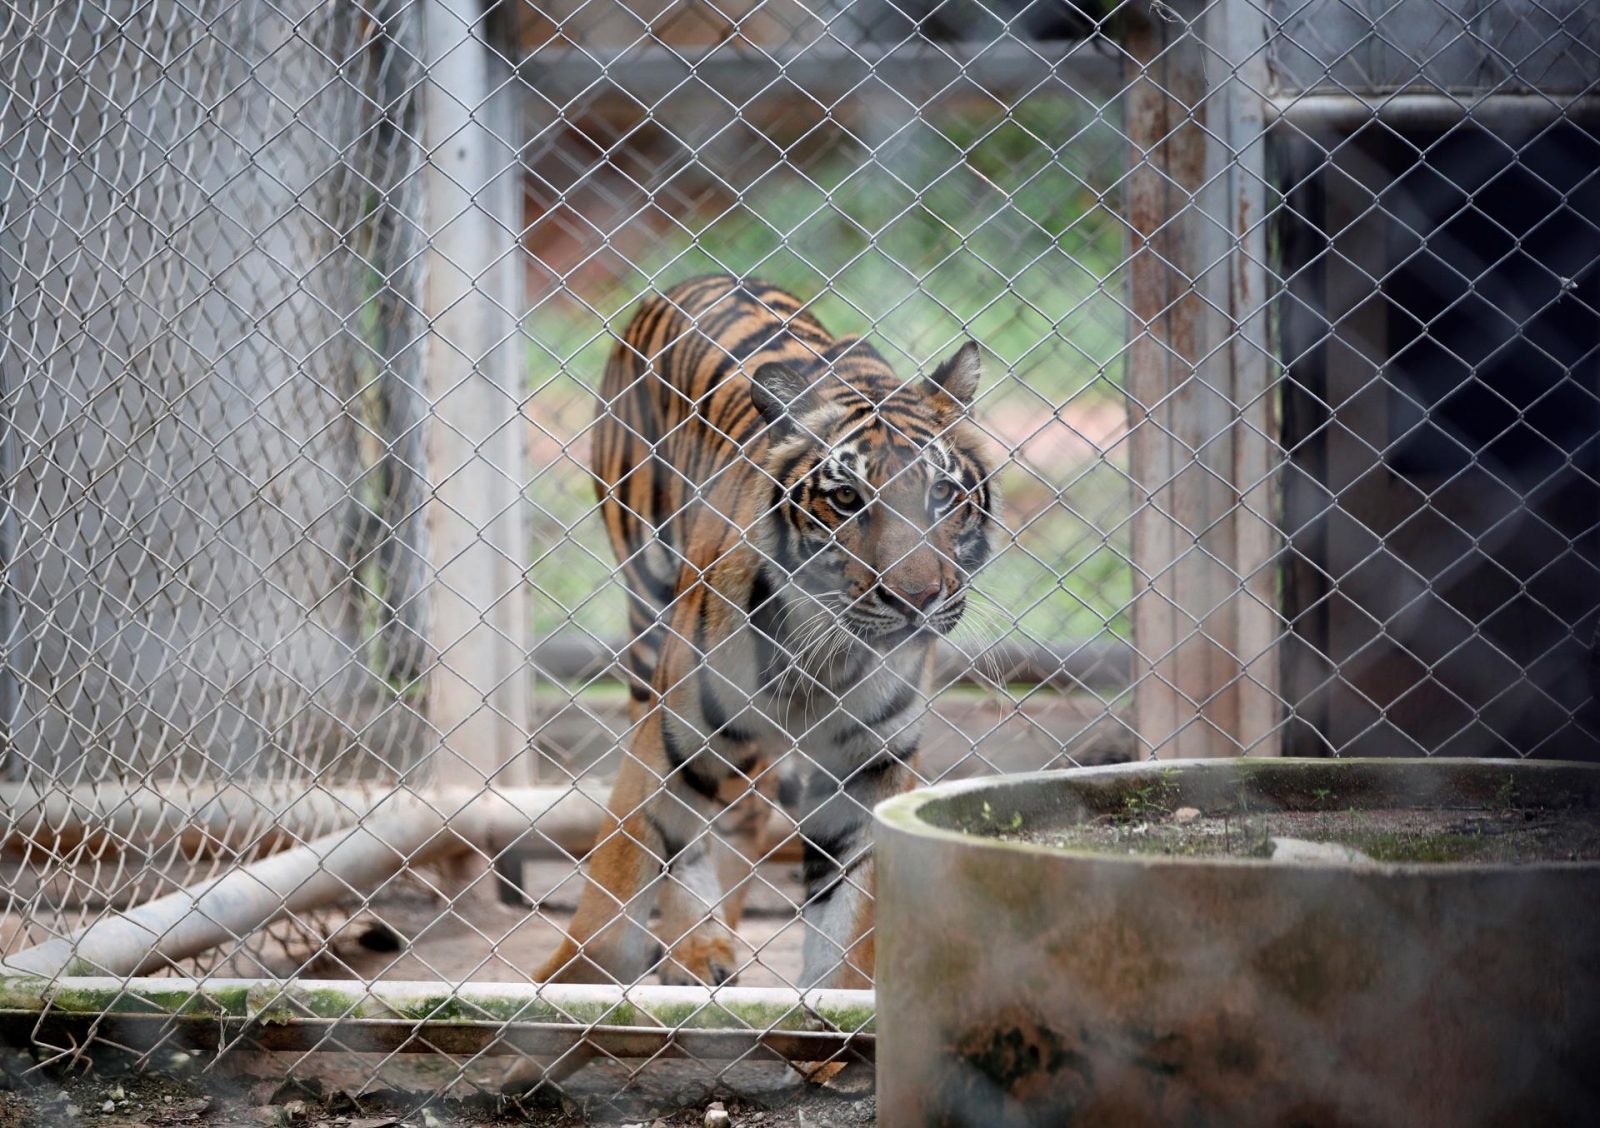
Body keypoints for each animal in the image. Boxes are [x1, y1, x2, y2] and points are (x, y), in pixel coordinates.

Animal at [534, 274, 999, 990]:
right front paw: (569, 982)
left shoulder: (871, 765)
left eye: (942, 495)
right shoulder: (674, 733)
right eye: (845, 499)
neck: (824, 654)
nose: (916, 600)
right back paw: (696, 950)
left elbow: (851, 923)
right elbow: (627, 864)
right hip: (648, 622)